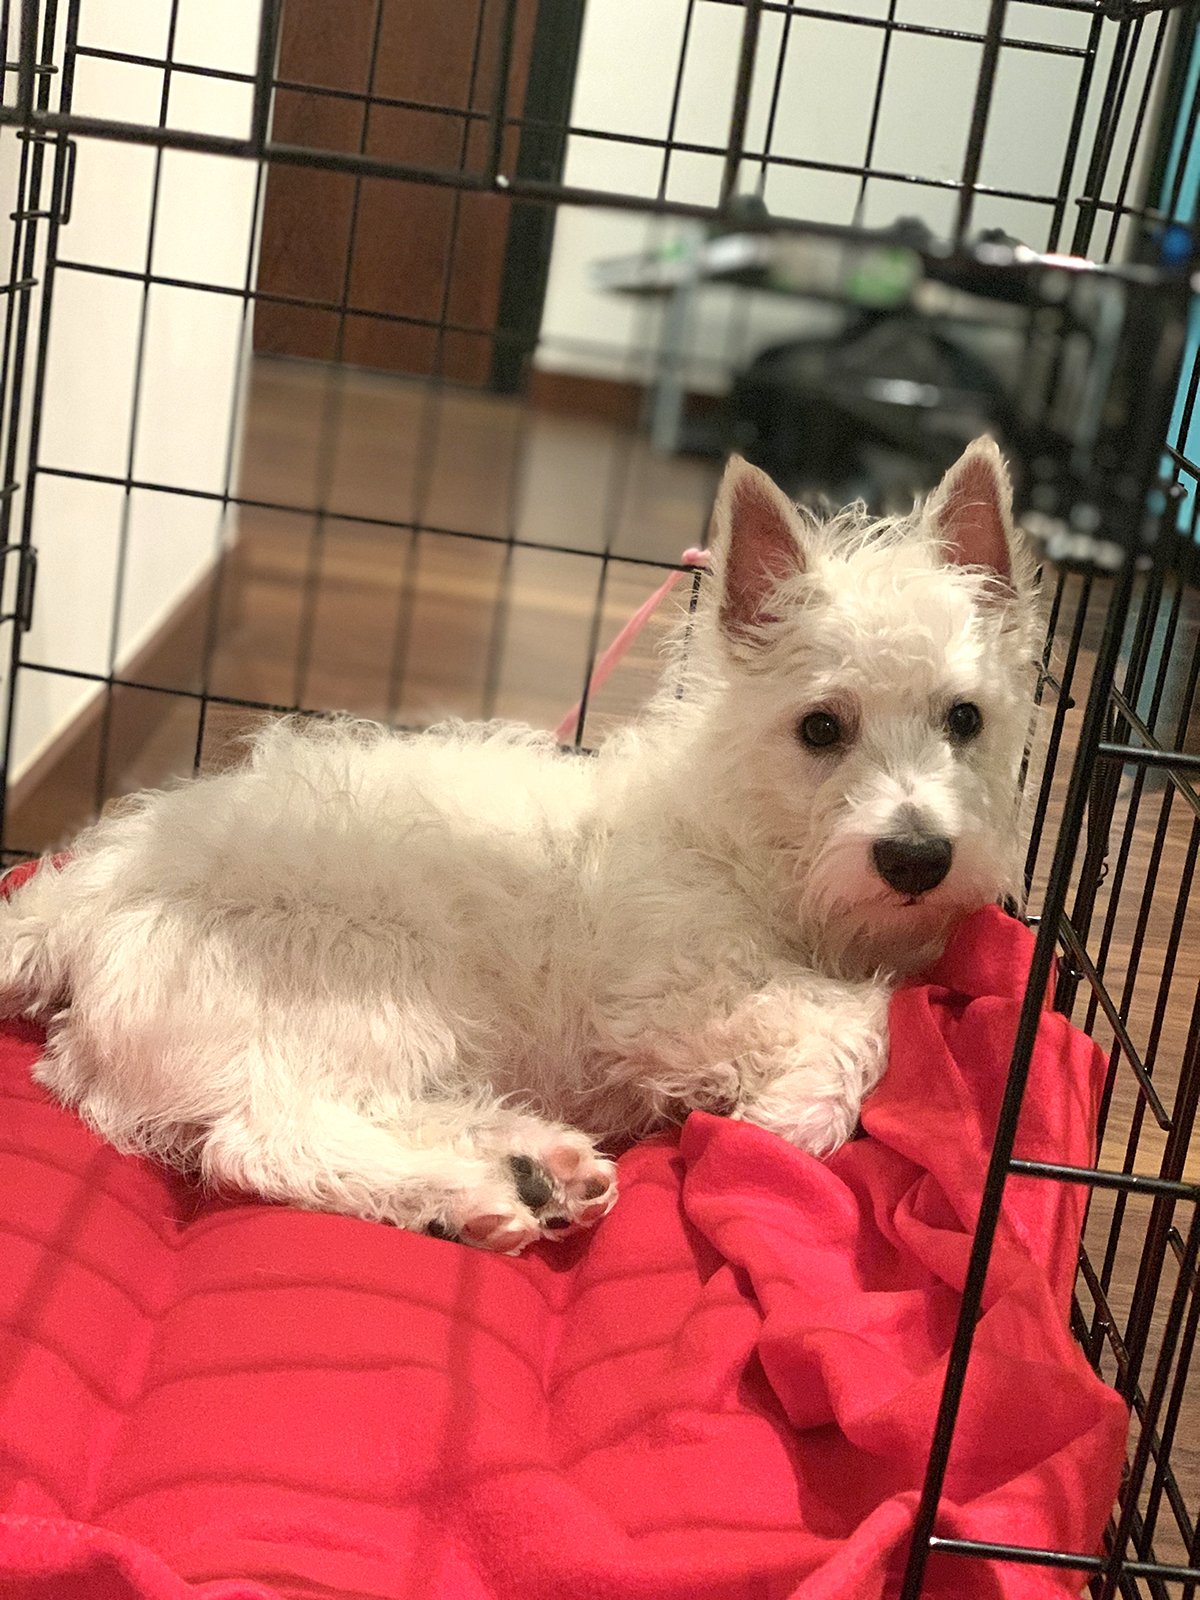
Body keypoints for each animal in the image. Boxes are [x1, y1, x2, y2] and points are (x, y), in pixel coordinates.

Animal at [0, 435, 1043, 1248]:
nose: (918, 858)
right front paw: (791, 1118)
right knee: (265, 1137)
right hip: (379, 983)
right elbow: (857, 1017)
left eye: (965, 718)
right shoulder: (672, 992)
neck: (741, 838)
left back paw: (534, 1166)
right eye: (821, 728)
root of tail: (72, 897)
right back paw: (468, 1195)